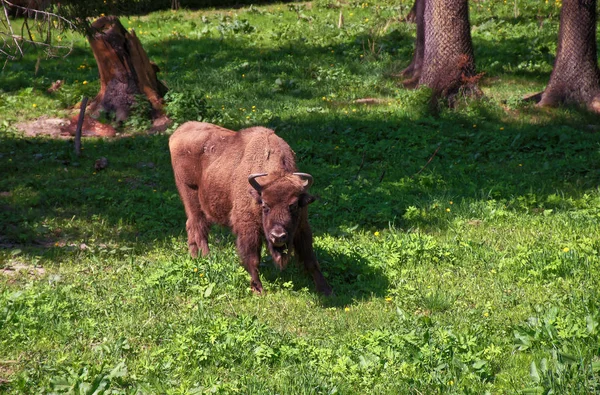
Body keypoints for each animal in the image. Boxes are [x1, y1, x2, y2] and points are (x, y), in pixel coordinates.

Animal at [169, 122, 332, 296]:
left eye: (293, 205)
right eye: (265, 205)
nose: (278, 236)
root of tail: (178, 132)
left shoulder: (301, 227)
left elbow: (310, 259)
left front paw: (326, 290)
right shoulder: (248, 228)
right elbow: (253, 258)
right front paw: (258, 289)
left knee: (191, 226)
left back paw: (195, 257)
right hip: (191, 196)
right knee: (198, 227)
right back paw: (207, 258)